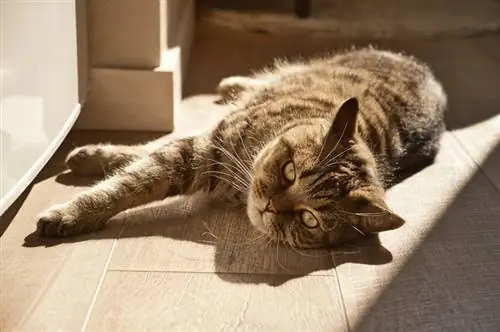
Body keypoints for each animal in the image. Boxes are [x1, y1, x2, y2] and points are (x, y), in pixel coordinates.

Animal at [37, 47, 448, 249]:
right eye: (289, 171)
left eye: (309, 220)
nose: (270, 206)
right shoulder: (201, 148)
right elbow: (128, 183)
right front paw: (77, 201)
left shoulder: (197, 153)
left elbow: (139, 169)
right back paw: (232, 83)